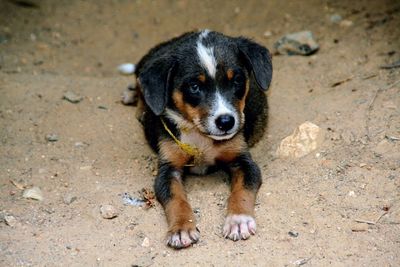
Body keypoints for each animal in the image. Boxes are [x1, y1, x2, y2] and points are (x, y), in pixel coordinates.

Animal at [131, 30, 272, 250]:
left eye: (237, 80)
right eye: (194, 87)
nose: (226, 122)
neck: (200, 135)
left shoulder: (243, 161)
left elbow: (242, 191)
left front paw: (238, 220)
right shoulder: (168, 169)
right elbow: (176, 199)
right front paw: (181, 228)